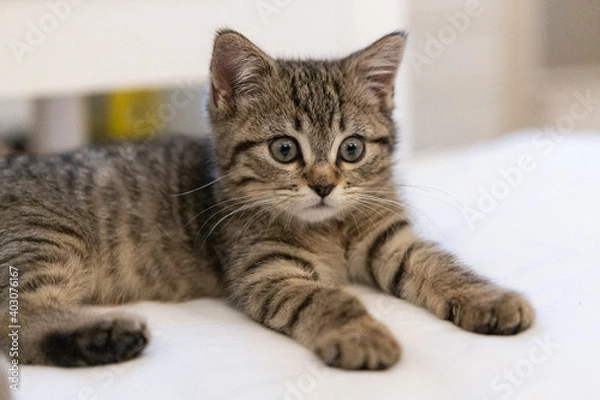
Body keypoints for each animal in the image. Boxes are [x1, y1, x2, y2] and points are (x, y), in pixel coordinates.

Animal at [0, 29, 536, 370]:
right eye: (284, 149)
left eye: (352, 149)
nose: (323, 185)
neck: (328, 228)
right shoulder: (267, 270)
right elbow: (329, 297)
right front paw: (359, 333)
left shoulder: (393, 241)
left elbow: (442, 265)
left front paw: (488, 297)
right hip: (49, 239)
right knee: (17, 321)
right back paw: (104, 336)